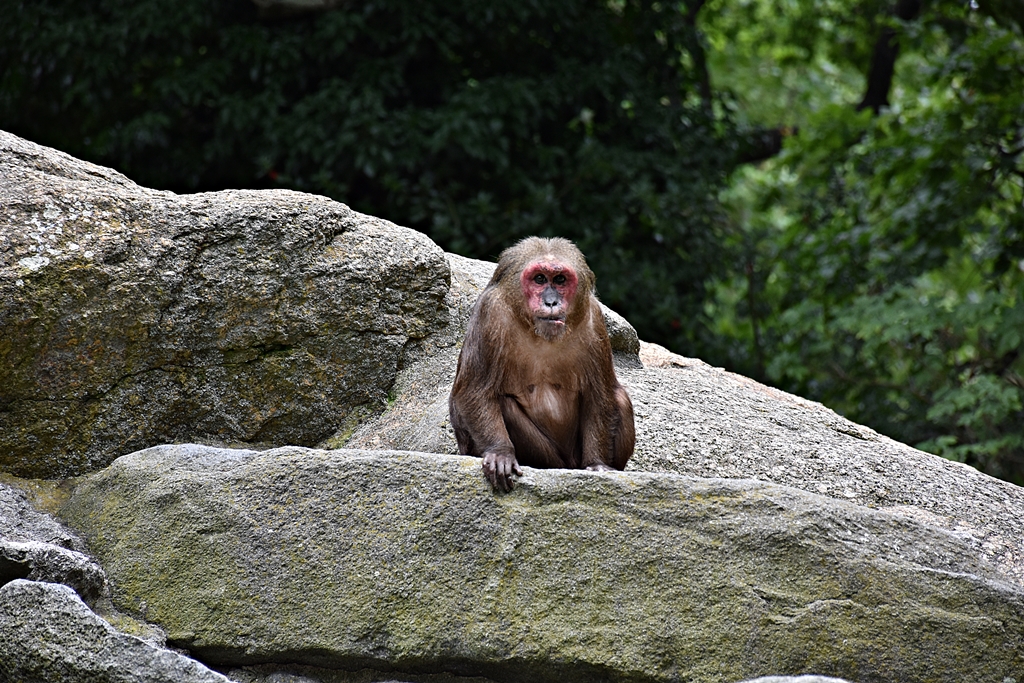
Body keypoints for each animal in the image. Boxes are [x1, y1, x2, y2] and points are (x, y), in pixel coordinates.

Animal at [449, 236, 635, 491]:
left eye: (560, 280)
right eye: (539, 279)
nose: (551, 301)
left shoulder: (594, 319)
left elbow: (599, 395)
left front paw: (597, 463)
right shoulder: (490, 314)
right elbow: (474, 390)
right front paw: (500, 453)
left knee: (619, 398)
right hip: (550, 458)